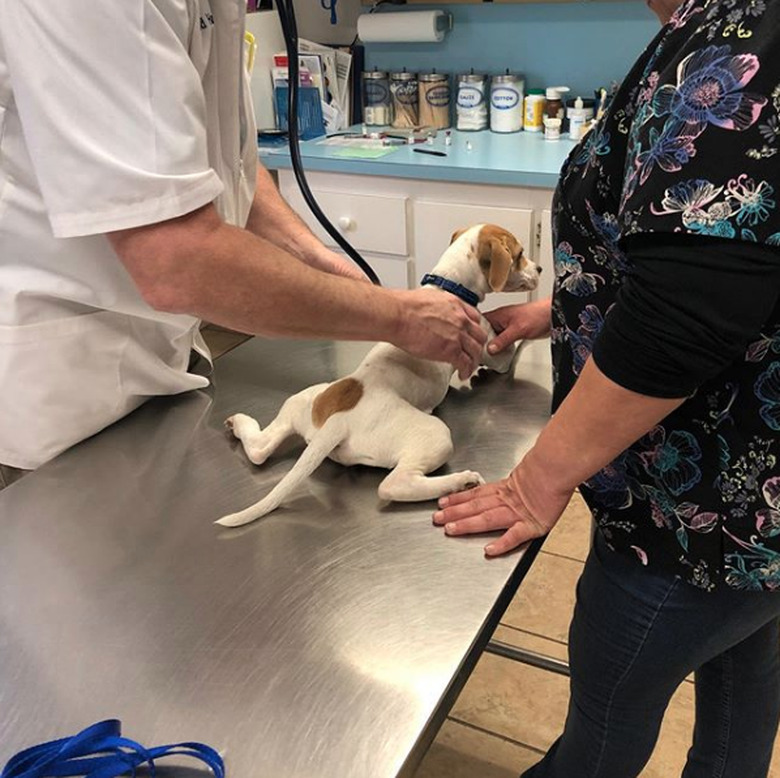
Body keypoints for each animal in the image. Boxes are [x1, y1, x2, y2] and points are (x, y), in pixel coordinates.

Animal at [216, 224, 540, 528]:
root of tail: (337, 423)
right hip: (435, 434)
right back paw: (460, 482)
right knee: (392, 486)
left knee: (260, 450)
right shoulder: (493, 352)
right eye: (520, 254)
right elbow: (508, 348)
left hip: (302, 402)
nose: (539, 269)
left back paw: (238, 424)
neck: (449, 285)